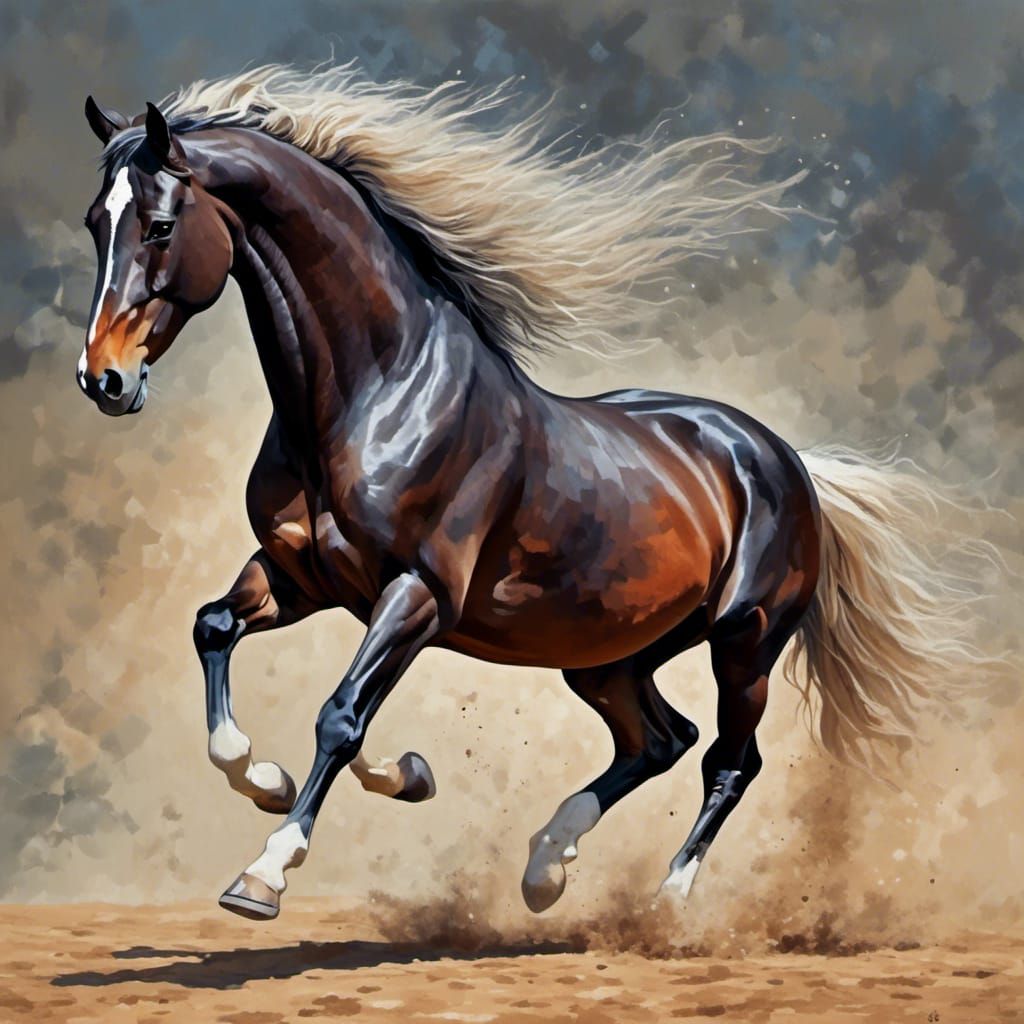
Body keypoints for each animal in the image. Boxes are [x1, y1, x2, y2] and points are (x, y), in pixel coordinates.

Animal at [76, 66, 984, 922]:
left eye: (160, 226)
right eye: (95, 223)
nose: (103, 381)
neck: (377, 394)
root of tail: (785, 460)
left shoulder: (418, 594)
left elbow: (339, 712)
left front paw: (264, 874)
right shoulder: (303, 578)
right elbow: (217, 631)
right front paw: (341, 777)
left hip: (746, 641)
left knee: (728, 760)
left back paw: (666, 905)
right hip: (610, 655)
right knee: (660, 740)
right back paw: (546, 868)